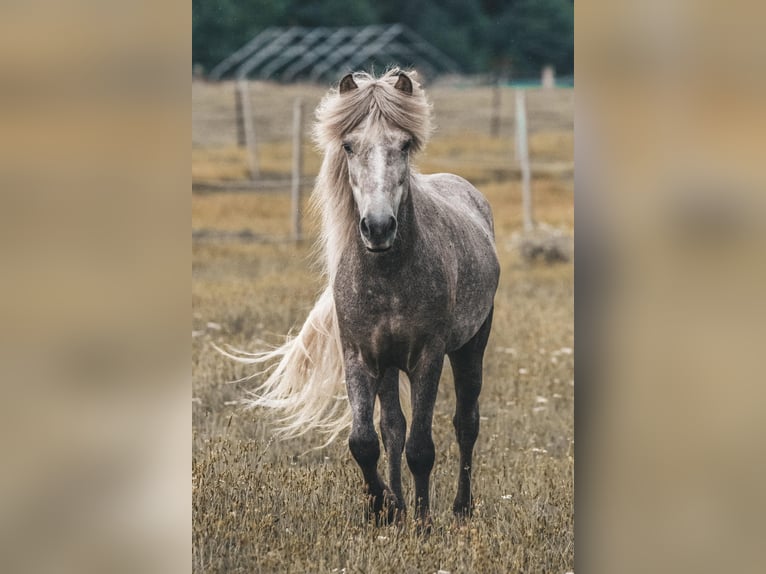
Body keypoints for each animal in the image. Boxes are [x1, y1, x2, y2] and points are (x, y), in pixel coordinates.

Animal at [228, 70, 500, 528]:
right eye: (349, 146)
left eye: (404, 145)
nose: (378, 226)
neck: (388, 277)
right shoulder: (360, 355)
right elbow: (366, 441)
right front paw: (385, 508)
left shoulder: (427, 358)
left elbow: (421, 448)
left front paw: (423, 523)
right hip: (388, 366)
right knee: (393, 427)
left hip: (470, 346)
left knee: (466, 422)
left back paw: (461, 508)